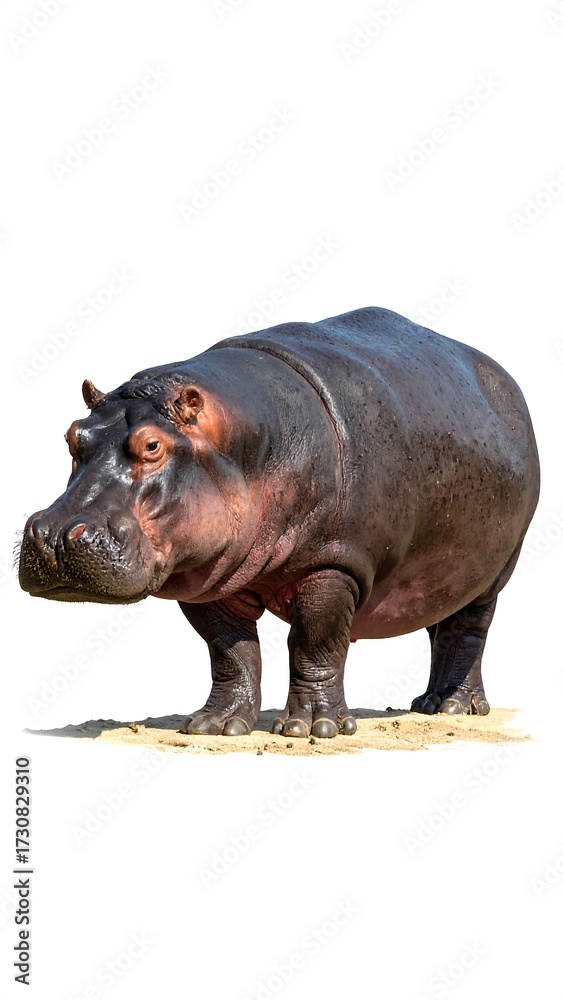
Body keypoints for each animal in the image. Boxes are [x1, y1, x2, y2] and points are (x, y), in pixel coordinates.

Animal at [19, 307, 540, 738]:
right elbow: (230, 652)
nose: (55, 535)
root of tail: (508, 382)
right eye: (71, 436)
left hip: (496, 569)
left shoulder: (335, 564)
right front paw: (214, 725)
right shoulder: (209, 580)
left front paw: (314, 728)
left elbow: (315, 644)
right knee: (439, 621)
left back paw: (456, 708)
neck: (243, 442)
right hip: (443, 572)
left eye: (151, 445)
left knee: (468, 630)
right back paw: (426, 704)